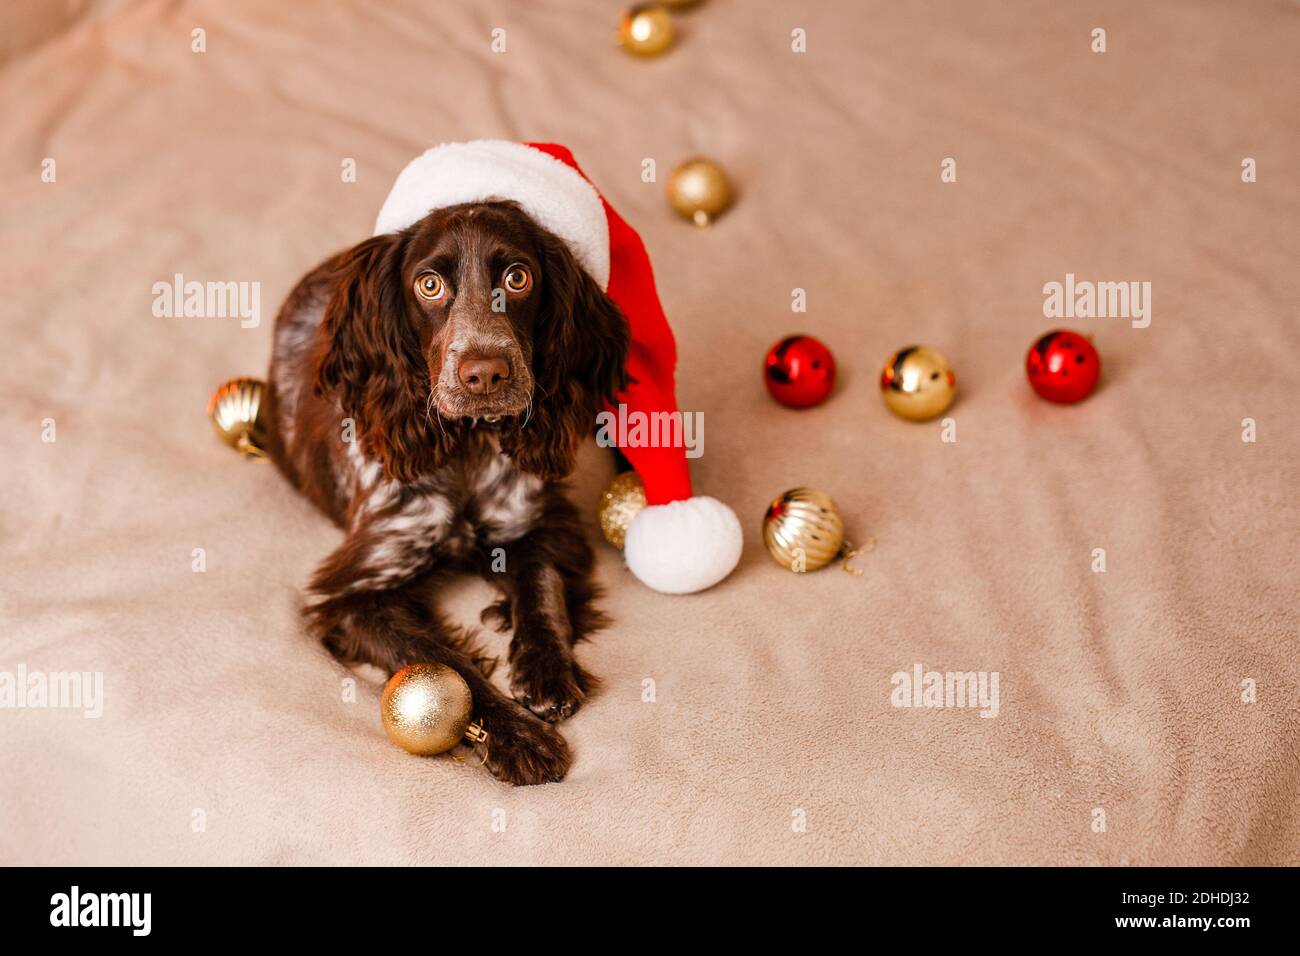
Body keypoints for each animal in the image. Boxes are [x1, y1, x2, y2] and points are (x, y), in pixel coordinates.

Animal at [265, 200, 629, 785]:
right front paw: (518, 736)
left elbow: (541, 582)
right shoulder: (357, 591)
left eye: (518, 277)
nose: (485, 374)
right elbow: (442, 660)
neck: (466, 447)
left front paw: (546, 670)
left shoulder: (535, 518)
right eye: (429, 285)